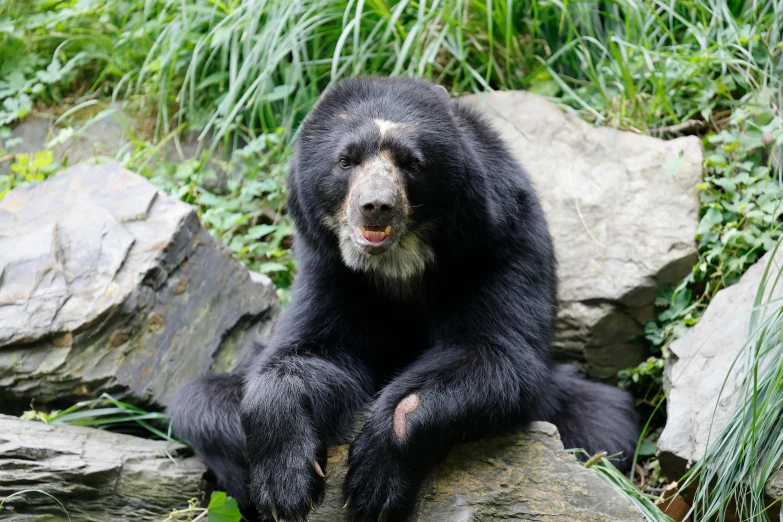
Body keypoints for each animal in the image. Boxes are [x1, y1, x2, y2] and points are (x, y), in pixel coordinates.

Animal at [168, 76, 640, 520]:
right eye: (346, 160)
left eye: (412, 163)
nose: (376, 206)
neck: (397, 268)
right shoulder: (331, 270)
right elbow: (310, 351)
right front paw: (285, 487)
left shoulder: (498, 248)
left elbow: (498, 355)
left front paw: (373, 483)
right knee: (198, 403)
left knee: (604, 420)